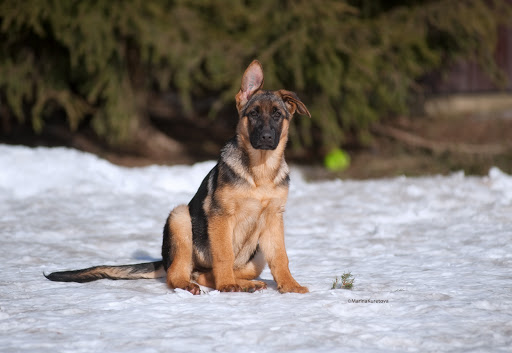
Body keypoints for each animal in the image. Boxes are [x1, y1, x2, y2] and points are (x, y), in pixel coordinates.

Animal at [47, 61, 308, 294]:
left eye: (277, 115)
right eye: (253, 114)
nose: (266, 137)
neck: (260, 172)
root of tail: (164, 260)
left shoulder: (274, 219)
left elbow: (281, 257)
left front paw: (290, 286)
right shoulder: (221, 216)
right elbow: (223, 255)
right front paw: (227, 286)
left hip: (256, 257)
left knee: (207, 272)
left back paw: (247, 283)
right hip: (180, 218)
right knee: (184, 273)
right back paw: (198, 285)